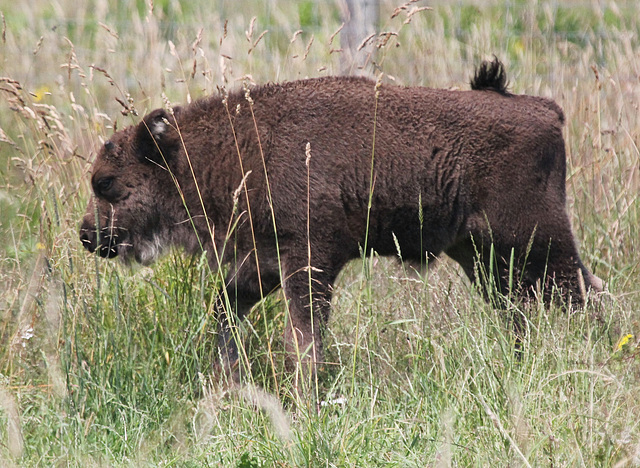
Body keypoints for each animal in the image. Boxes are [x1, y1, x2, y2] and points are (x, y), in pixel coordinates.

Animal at [79, 58, 600, 378]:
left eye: (106, 182)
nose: (87, 236)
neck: (236, 149)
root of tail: (545, 111)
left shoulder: (308, 265)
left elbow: (304, 342)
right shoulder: (260, 266)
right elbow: (227, 315)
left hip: (537, 243)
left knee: (586, 296)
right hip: (487, 259)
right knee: (524, 311)